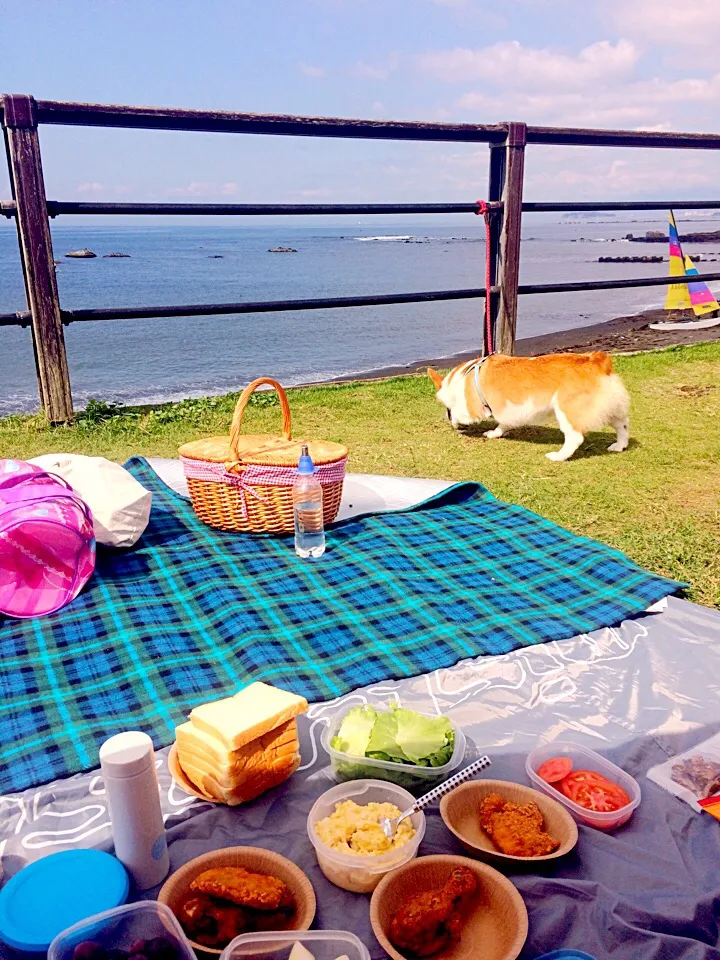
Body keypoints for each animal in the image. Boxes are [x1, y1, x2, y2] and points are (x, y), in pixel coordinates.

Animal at [428, 352, 632, 462]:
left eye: (446, 409)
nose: (447, 417)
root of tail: (597, 361)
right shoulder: (507, 412)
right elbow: (503, 424)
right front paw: (495, 433)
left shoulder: (471, 409)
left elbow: (459, 413)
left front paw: (455, 422)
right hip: (611, 407)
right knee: (623, 424)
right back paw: (619, 445)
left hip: (565, 411)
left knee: (575, 437)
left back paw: (558, 456)